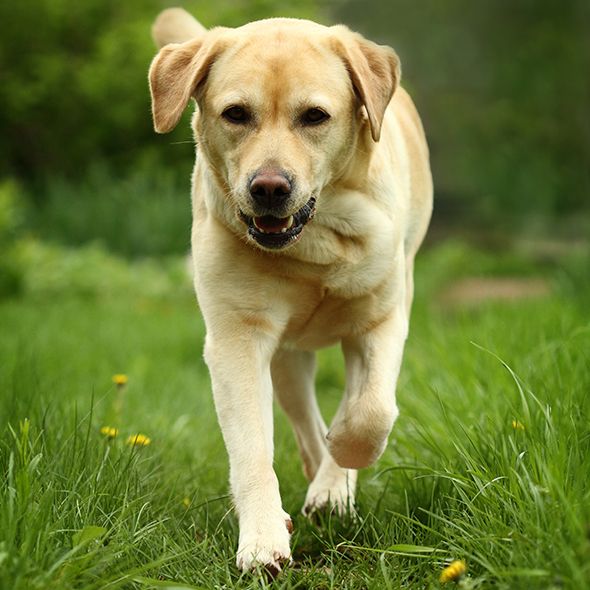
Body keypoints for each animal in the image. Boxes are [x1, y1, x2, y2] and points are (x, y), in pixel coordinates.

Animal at [149, 6, 434, 576]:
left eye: (315, 116)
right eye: (236, 113)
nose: (269, 188)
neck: (314, 242)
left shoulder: (381, 318)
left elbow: (370, 412)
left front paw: (343, 461)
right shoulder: (237, 339)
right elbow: (251, 448)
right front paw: (262, 539)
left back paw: (332, 482)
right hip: (286, 358)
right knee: (302, 422)